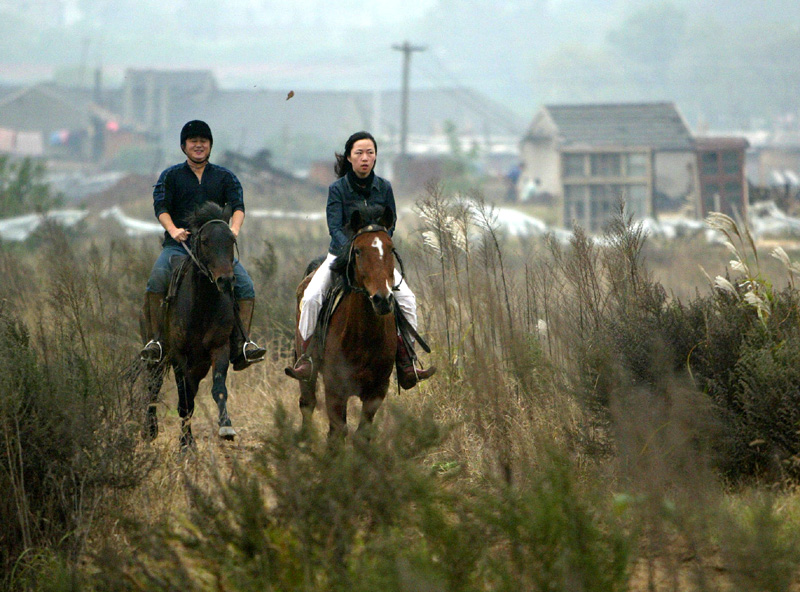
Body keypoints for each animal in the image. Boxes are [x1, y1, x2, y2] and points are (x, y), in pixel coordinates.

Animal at [141, 201, 238, 446]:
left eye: (231, 240)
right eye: (205, 241)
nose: (225, 280)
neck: (201, 305)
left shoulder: (219, 348)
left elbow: (218, 389)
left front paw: (226, 427)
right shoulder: (179, 355)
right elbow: (184, 400)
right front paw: (185, 445)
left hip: (199, 364)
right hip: (156, 356)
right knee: (153, 386)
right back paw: (149, 430)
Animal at [290, 204, 396, 440]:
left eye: (391, 249)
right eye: (357, 251)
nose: (382, 299)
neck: (364, 335)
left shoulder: (377, 391)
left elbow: (361, 435)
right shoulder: (335, 389)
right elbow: (337, 432)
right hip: (307, 373)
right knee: (307, 403)